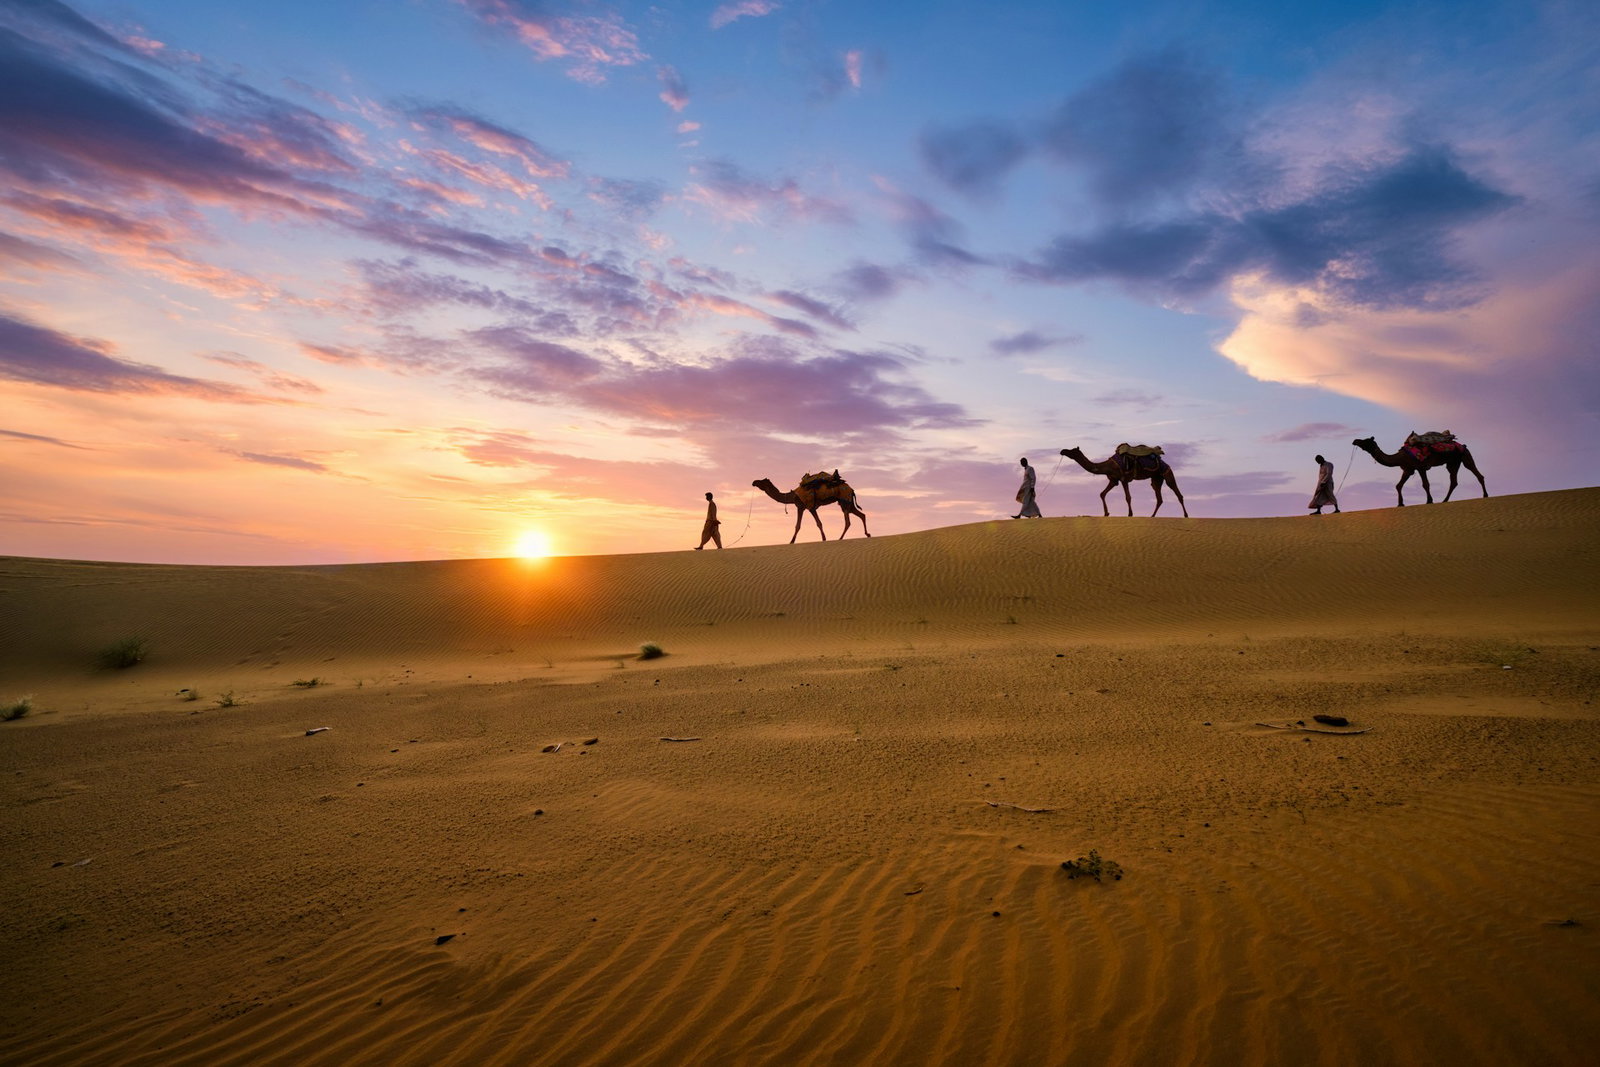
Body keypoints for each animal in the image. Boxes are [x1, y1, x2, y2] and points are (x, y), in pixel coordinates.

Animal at [1060, 445, 1189, 517]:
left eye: (1072, 451)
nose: (1062, 451)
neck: (1108, 466)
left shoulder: (1123, 478)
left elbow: (1128, 497)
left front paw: (1130, 514)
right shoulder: (1114, 480)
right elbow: (1102, 494)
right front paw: (1106, 513)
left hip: (1167, 473)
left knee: (1178, 494)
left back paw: (1186, 515)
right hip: (1156, 479)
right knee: (1159, 498)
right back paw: (1151, 516)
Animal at [1353, 434, 1487, 506]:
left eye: (1366, 441)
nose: (1355, 441)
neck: (1400, 458)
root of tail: (1462, 445)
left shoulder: (1421, 467)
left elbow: (1425, 484)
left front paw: (1429, 501)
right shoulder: (1408, 469)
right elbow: (1398, 485)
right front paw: (1400, 504)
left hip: (1465, 456)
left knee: (1477, 474)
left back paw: (1485, 495)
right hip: (1453, 462)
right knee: (1454, 481)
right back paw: (1444, 500)